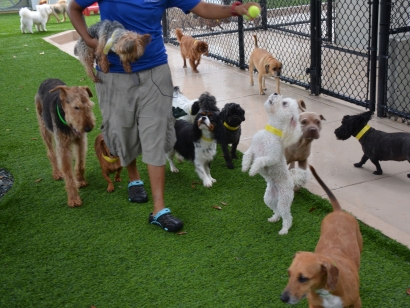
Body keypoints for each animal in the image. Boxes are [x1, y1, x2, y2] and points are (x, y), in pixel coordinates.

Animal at [34, 77, 95, 207]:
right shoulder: (63, 147)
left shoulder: (81, 141)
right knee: (51, 153)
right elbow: (68, 174)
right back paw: (57, 173)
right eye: (76, 107)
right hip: (44, 128)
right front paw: (73, 199)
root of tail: (48, 79)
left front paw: (80, 181)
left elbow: (80, 163)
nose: (88, 128)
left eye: (90, 106)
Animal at [280, 166, 364, 308]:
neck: (327, 291)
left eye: (303, 278)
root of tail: (338, 211)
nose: (283, 298)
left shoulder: (357, 302)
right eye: (289, 273)